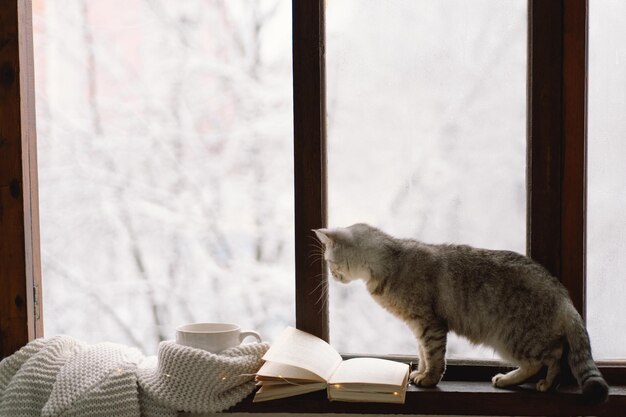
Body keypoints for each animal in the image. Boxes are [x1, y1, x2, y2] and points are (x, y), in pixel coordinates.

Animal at [314, 224, 608, 404]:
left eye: (329, 261)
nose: (331, 275)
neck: (389, 260)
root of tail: (563, 296)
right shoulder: (418, 326)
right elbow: (422, 354)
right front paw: (419, 372)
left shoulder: (429, 324)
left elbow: (434, 356)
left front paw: (428, 379)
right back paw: (509, 380)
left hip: (514, 338)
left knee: (553, 356)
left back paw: (546, 383)